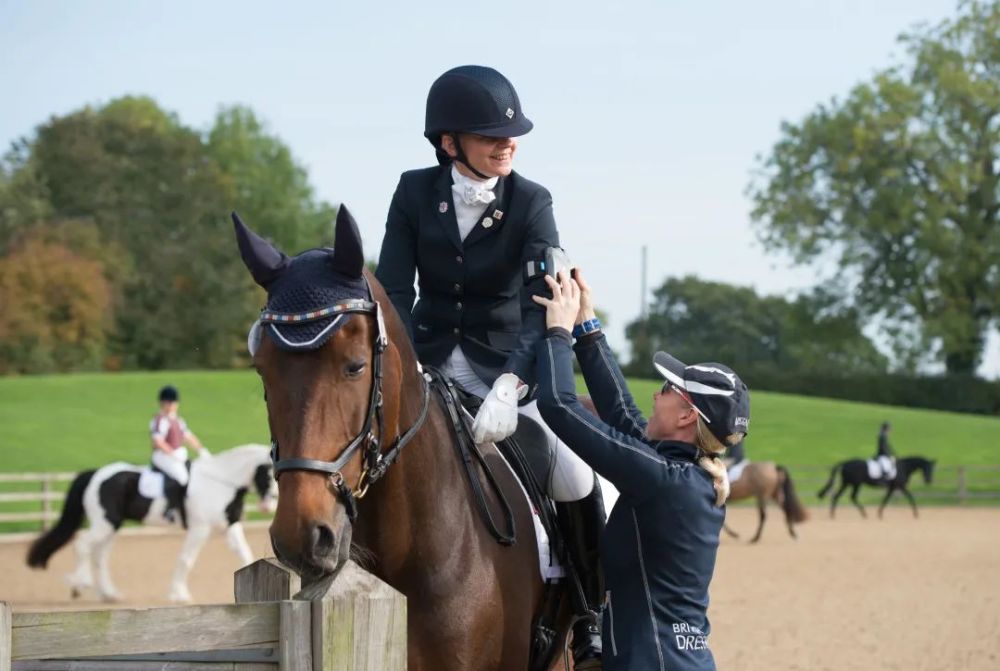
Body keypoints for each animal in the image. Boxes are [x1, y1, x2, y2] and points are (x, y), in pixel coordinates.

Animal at [27, 446, 278, 604]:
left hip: (112, 526)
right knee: (83, 545)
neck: (222, 482)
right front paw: (179, 594)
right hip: (104, 523)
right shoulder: (200, 529)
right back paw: (80, 584)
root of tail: (97, 473)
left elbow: (245, 554)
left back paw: (108, 594)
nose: (270, 505)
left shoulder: (230, 527)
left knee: (100, 555)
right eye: (269, 474)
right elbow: (186, 560)